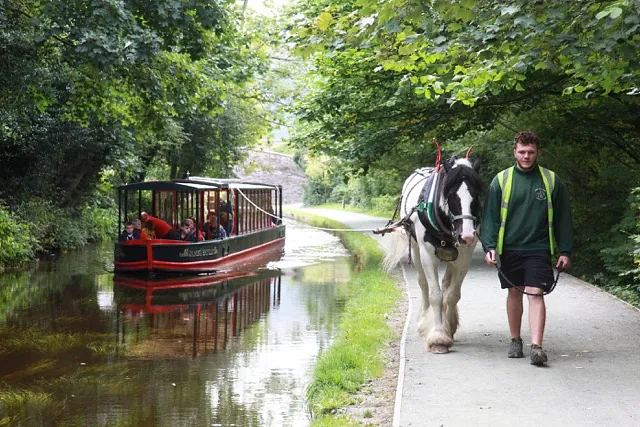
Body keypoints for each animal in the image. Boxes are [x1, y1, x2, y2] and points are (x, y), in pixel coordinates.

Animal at [382, 156, 482, 354]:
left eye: (475, 195)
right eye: (450, 195)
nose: (467, 235)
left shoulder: (464, 258)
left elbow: (452, 294)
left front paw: (448, 327)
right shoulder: (427, 255)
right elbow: (435, 294)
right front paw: (438, 337)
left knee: (446, 284)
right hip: (416, 249)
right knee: (423, 283)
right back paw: (423, 320)